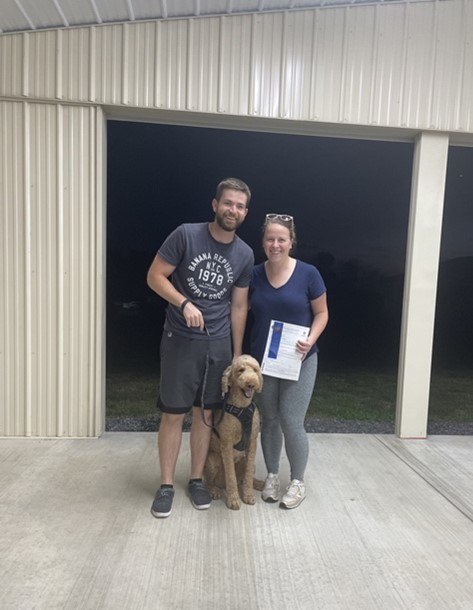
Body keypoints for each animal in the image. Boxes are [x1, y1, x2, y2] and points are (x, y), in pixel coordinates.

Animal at [203, 352, 262, 508]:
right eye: (240, 370)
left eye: (255, 370)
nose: (251, 384)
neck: (242, 407)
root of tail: (221, 484)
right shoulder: (227, 444)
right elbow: (231, 475)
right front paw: (234, 499)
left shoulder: (252, 441)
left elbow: (248, 475)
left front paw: (248, 495)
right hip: (212, 460)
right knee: (209, 482)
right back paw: (214, 491)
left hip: (247, 461)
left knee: (244, 478)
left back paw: (258, 483)